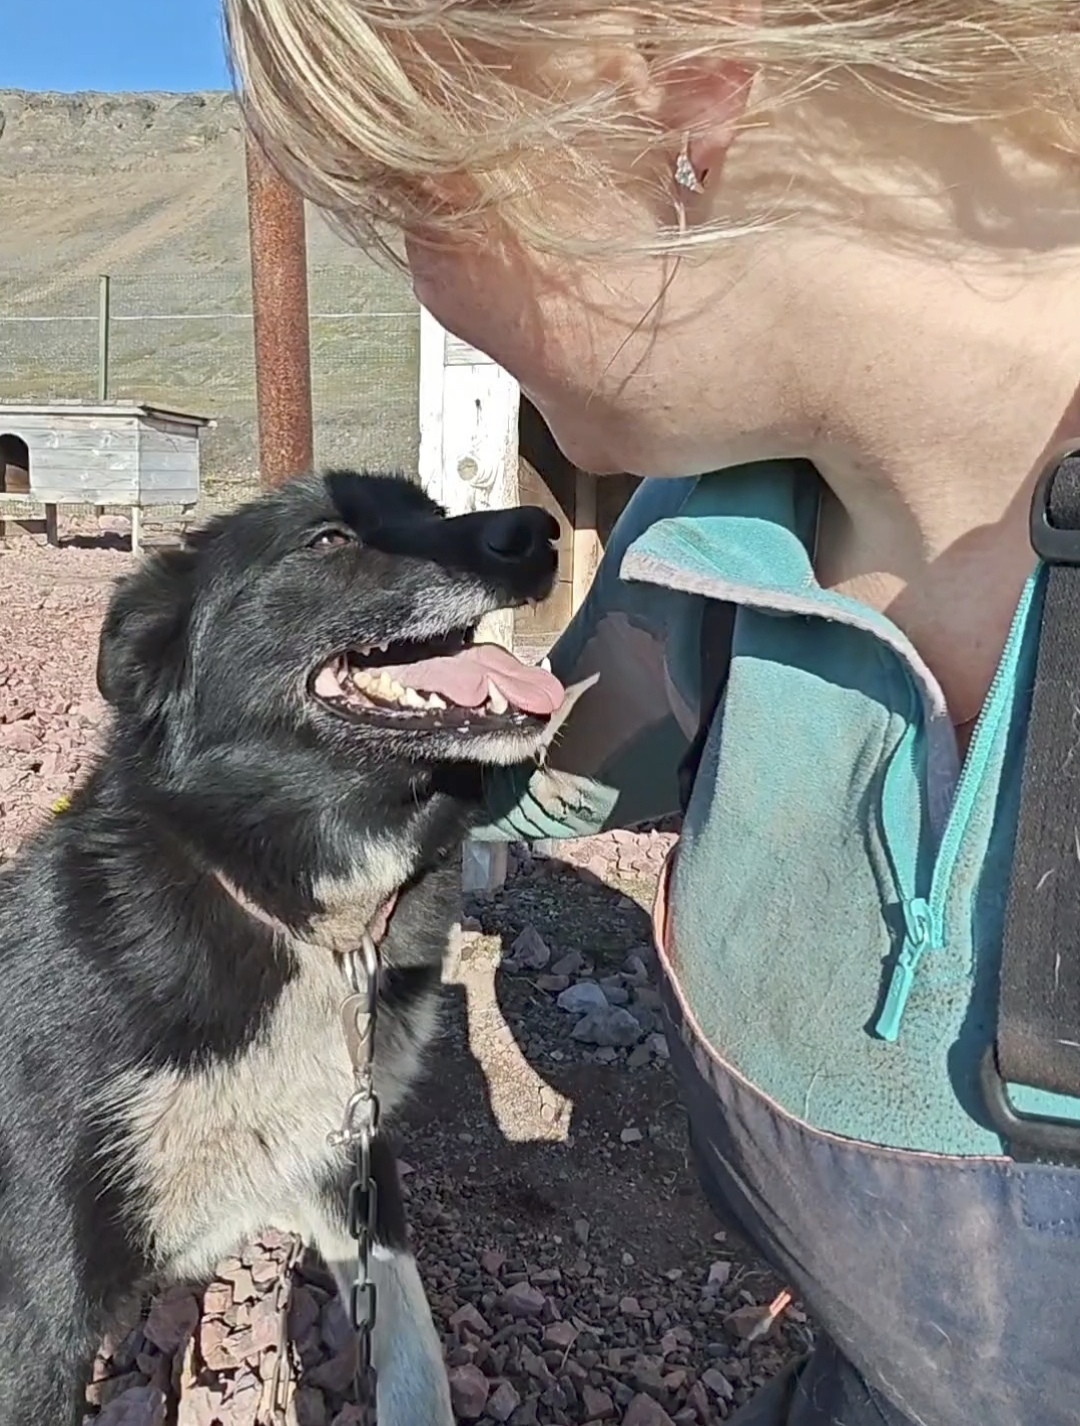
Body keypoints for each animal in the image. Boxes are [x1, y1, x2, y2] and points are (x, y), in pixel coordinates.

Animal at [0, 470, 567, 1426]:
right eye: (328, 539)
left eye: (430, 509)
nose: (538, 532)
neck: (309, 926)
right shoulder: (36, 1305)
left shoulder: (346, 1156)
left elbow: (414, 1353)